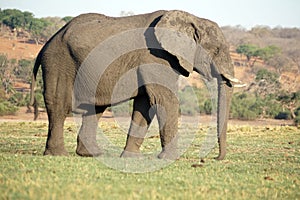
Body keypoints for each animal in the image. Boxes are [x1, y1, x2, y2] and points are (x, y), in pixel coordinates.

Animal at [29, 10, 238, 161]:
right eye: (217, 50)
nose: (215, 158)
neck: (192, 18)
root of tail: (48, 42)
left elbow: (144, 105)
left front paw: (131, 158)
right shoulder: (155, 56)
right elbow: (164, 99)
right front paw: (170, 159)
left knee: (95, 108)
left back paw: (92, 154)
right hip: (58, 63)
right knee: (59, 106)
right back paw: (58, 155)